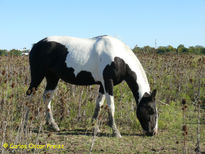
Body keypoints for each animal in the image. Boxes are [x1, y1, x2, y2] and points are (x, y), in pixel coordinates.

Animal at [26, 35, 159, 137]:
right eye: (151, 110)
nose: (153, 132)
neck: (118, 57)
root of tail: (36, 45)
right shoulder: (108, 82)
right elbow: (111, 105)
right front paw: (115, 131)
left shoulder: (102, 85)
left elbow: (98, 104)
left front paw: (94, 126)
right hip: (37, 76)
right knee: (29, 95)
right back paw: (26, 122)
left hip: (53, 78)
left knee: (46, 98)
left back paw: (52, 125)